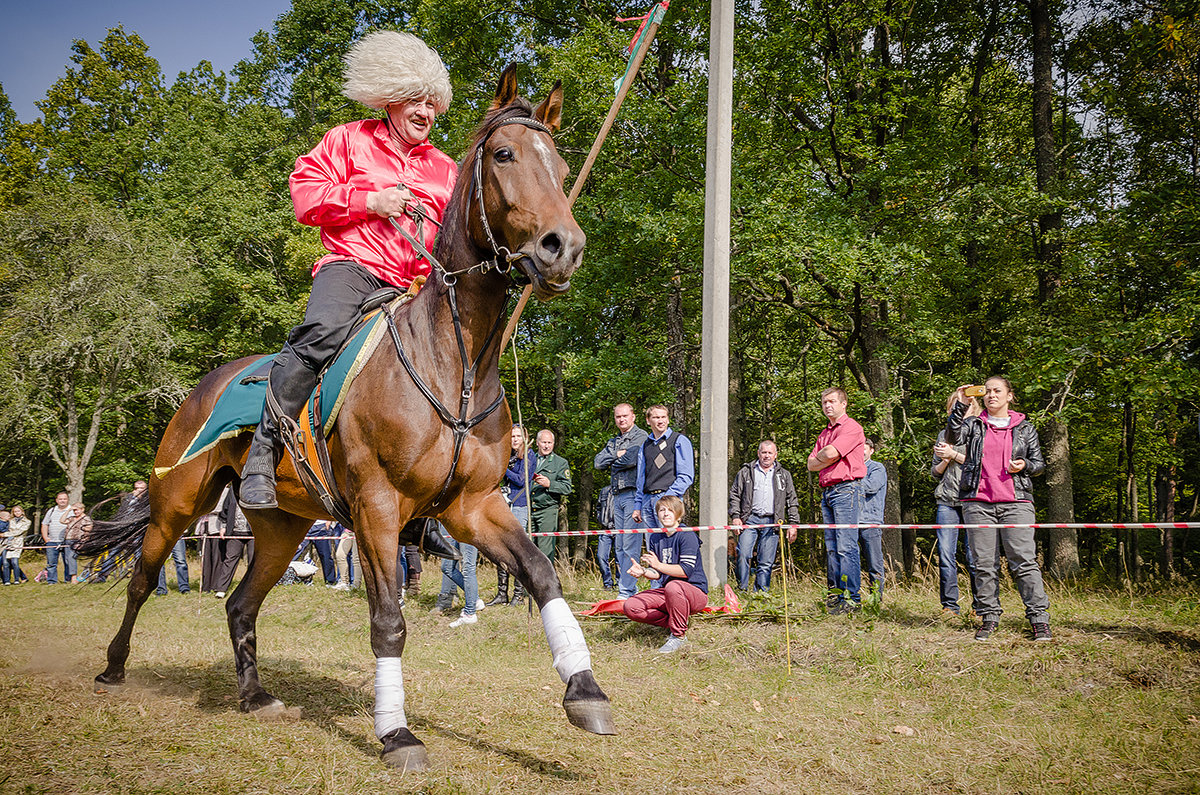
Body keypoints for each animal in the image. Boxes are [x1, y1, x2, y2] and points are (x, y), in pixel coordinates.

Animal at [79, 68, 614, 773]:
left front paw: (585, 690)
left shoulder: (472, 507)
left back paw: (254, 695)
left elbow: (541, 573)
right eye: (504, 155)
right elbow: (388, 619)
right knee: (142, 580)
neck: (453, 360)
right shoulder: (377, 507)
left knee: (240, 603)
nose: (564, 248)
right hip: (177, 503)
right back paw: (113, 669)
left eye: (561, 165)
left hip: (281, 528)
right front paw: (397, 733)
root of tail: (206, 384)